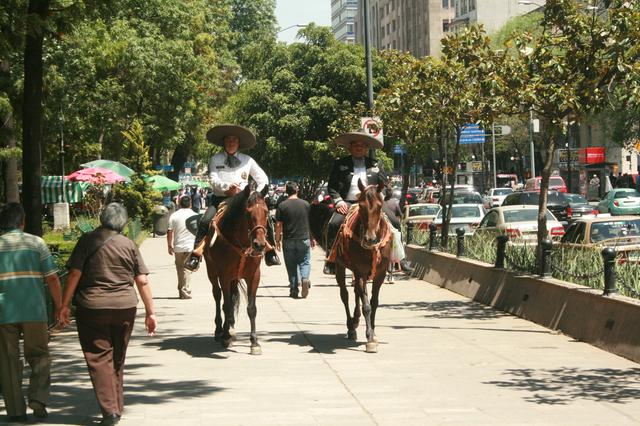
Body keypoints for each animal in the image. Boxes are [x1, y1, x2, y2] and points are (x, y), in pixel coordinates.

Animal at [202, 185, 268, 354]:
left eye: (266, 212)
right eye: (248, 213)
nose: (259, 244)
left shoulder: (254, 276)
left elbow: (251, 308)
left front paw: (254, 342)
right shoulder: (224, 275)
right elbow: (226, 305)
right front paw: (225, 337)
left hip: (234, 277)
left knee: (231, 298)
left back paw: (230, 329)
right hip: (212, 272)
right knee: (217, 295)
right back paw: (220, 330)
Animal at [308, 180, 392, 352]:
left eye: (380, 206)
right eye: (362, 206)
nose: (370, 239)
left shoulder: (379, 273)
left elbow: (374, 302)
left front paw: (373, 332)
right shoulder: (360, 270)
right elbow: (366, 304)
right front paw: (369, 338)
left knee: (355, 293)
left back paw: (356, 320)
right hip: (341, 267)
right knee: (345, 295)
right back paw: (351, 327)